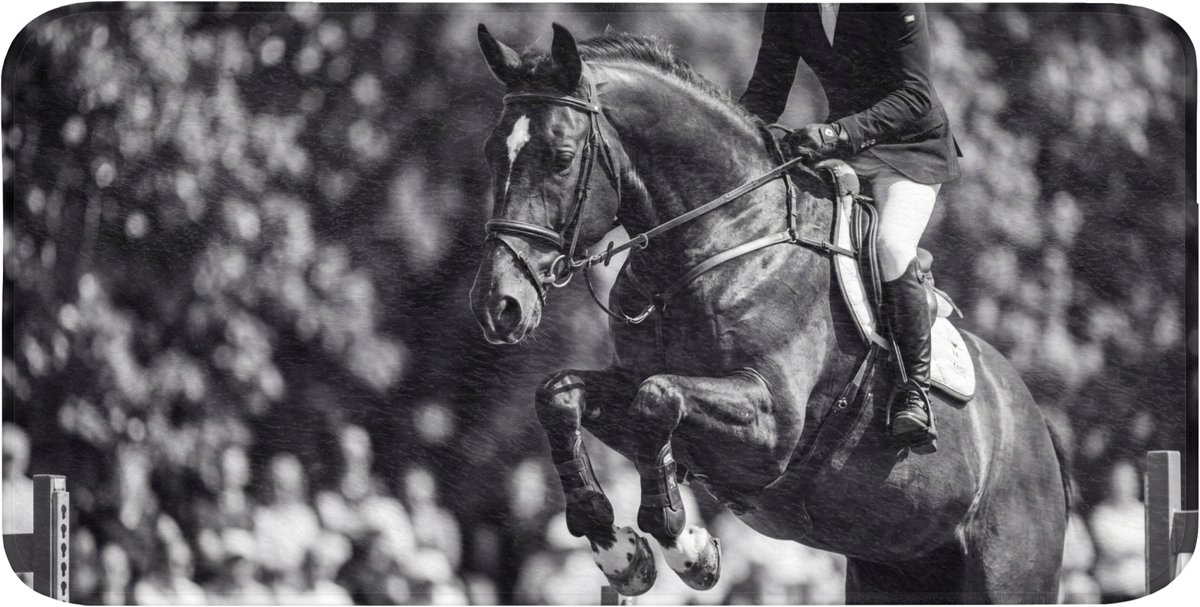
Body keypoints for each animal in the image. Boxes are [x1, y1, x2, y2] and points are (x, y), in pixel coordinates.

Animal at [469, 23, 1069, 603]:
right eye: (492, 153)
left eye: (562, 157)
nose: (498, 305)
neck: (720, 236)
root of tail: (1039, 430)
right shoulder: (631, 384)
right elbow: (561, 395)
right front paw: (617, 550)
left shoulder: (773, 423)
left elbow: (658, 400)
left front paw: (686, 546)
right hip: (891, 571)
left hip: (1007, 571)